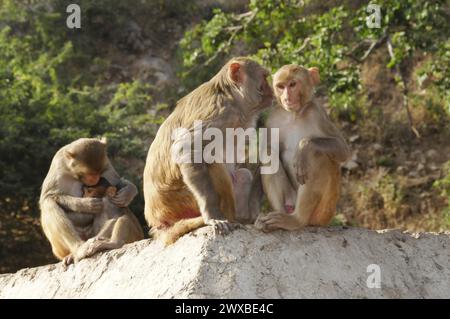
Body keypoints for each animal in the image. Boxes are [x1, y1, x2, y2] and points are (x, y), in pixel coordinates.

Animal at [142, 56, 272, 245]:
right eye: (264, 77)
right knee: (211, 162)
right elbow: (186, 148)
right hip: (183, 201)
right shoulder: (221, 113)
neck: (230, 95)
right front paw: (212, 216)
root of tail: (157, 221)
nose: (271, 90)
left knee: (242, 175)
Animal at [255, 63, 350, 231]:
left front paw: (303, 147)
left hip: (323, 213)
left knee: (317, 156)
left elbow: (342, 150)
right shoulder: (273, 118)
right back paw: (278, 217)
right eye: (281, 86)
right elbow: (268, 150)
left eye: (292, 84)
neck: (295, 115)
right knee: (269, 154)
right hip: (291, 198)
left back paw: (297, 220)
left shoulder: (317, 113)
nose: (286, 98)